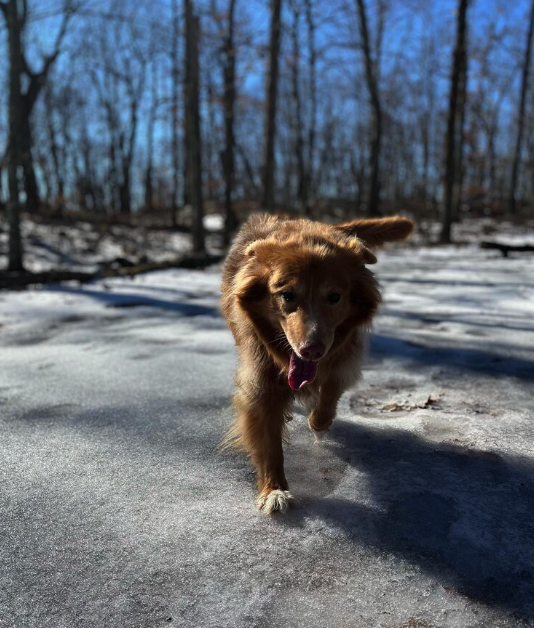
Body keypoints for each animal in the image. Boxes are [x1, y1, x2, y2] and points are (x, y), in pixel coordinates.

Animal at [222, 213, 414, 512]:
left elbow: (331, 391)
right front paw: (274, 490)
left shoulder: (343, 354)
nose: (311, 350)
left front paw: (319, 423)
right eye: (287, 295)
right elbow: (269, 441)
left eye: (334, 297)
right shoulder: (261, 378)